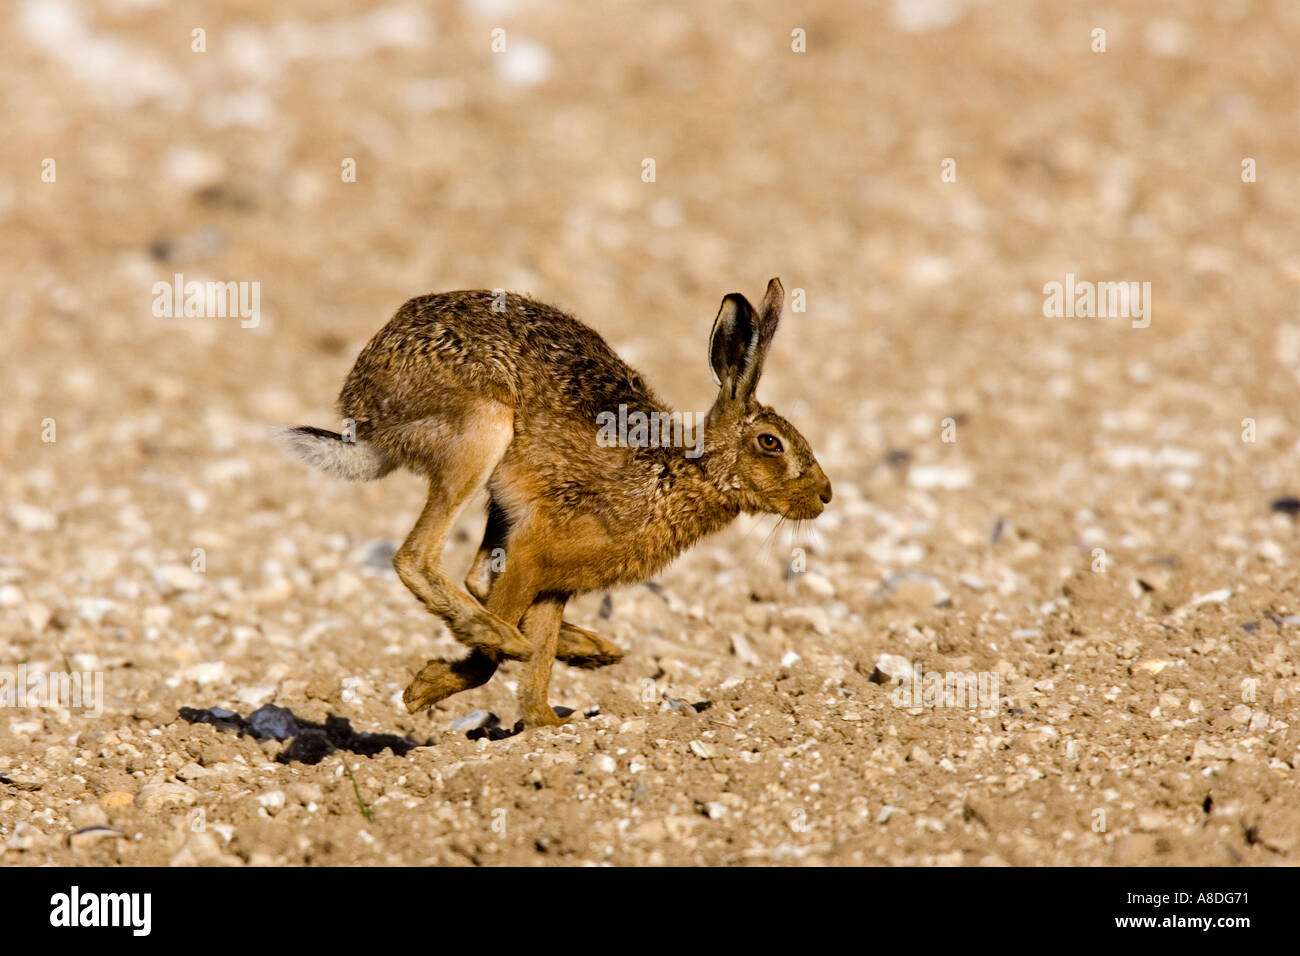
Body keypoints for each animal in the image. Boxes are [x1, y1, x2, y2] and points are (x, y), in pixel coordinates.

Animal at [277, 278, 831, 728]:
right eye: (770, 443)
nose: (824, 496)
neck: (680, 475)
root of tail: (362, 407)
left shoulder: (552, 582)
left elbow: (538, 664)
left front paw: (548, 724)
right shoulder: (533, 555)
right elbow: (486, 664)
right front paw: (424, 690)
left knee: (473, 578)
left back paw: (589, 649)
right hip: (482, 431)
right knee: (418, 558)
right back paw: (500, 635)